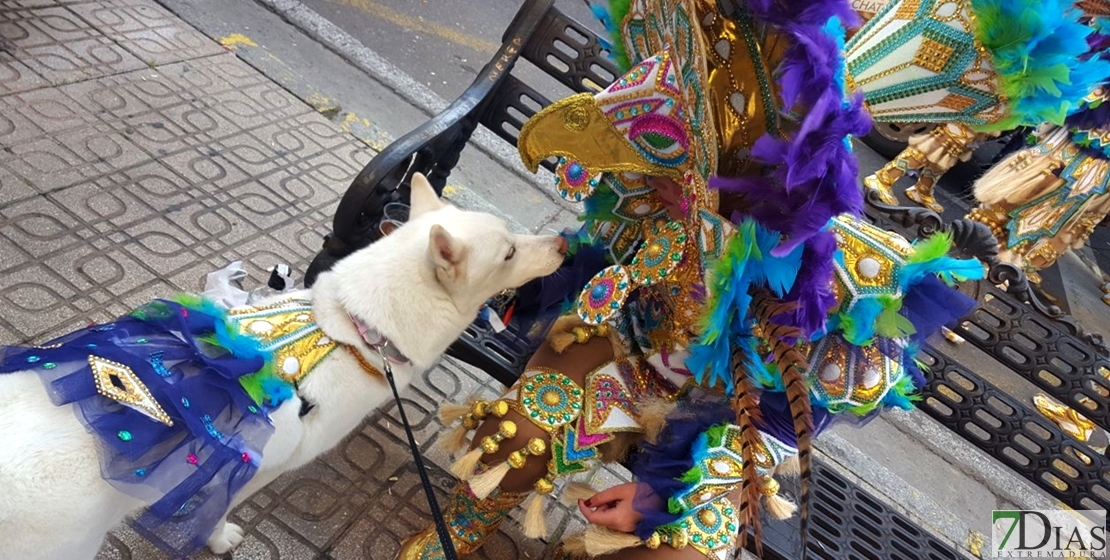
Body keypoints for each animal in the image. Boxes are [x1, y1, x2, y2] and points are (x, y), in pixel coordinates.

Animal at [0, 172, 563, 556]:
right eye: (509, 252)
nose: (563, 242)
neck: (354, 329)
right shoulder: (264, 466)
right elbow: (221, 507)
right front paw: (217, 537)